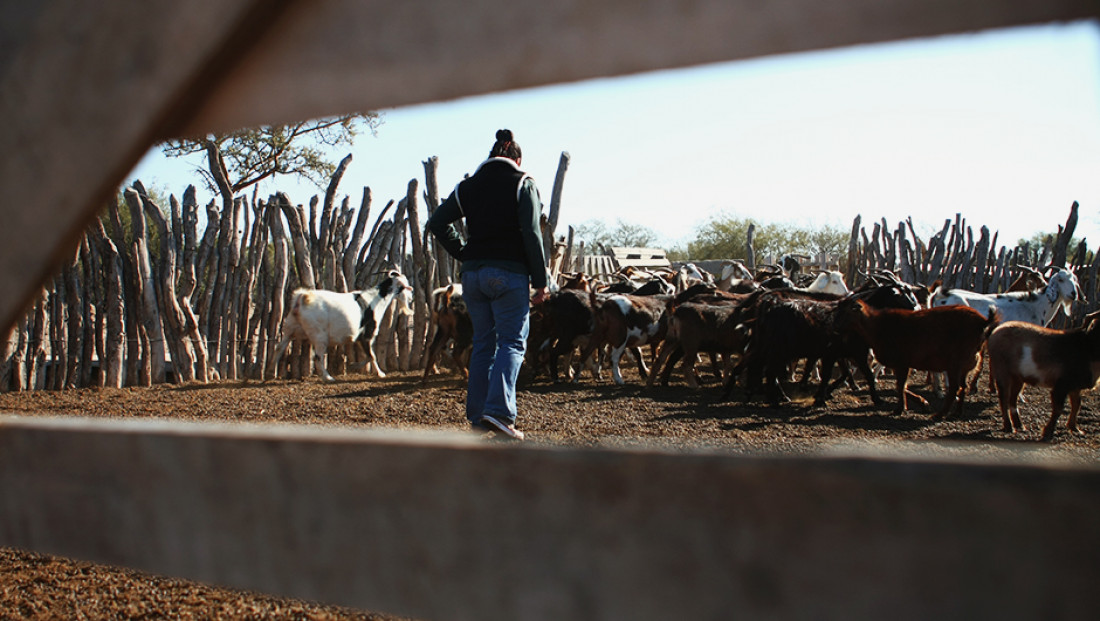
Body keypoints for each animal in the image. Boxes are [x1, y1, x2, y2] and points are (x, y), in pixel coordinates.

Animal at [272, 269, 413, 380]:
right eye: (405, 286)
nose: (411, 297)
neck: (375, 299)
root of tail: (302, 298)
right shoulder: (367, 334)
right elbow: (372, 355)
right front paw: (378, 373)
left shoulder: (359, 337)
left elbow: (369, 355)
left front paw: (353, 366)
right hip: (319, 335)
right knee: (318, 357)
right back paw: (328, 378)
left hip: (290, 329)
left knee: (279, 348)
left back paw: (271, 372)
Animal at [831, 298, 998, 415]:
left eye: (846, 311)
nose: (834, 326)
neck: (876, 326)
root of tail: (983, 322)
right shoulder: (901, 364)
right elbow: (901, 386)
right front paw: (921, 403)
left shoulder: (902, 363)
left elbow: (900, 386)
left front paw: (900, 409)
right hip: (964, 365)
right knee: (962, 387)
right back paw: (956, 412)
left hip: (957, 363)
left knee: (956, 387)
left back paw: (944, 412)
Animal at [985, 307, 1100, 437]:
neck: (1087, 347)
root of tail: (994, 332)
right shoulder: (1062, 385)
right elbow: (1059, 408)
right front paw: (1048, 431)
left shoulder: (1074, 386)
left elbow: (1076, 405)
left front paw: (1075, 428)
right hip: (1002, 371)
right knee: (1004, 398)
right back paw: (1009, 427)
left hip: (1017, 378)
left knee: (1012, 399)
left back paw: (1019, 425)